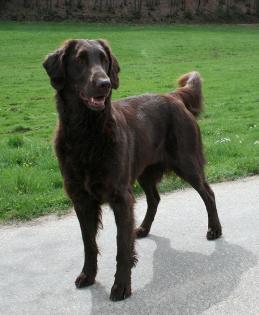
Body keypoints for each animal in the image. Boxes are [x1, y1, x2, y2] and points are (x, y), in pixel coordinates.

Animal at [43, 39, 222, 302]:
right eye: (80, 59)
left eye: (104, 59)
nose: (105, 84)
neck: (87, 133)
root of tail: (174, 96)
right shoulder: (81, 199)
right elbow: (88, 243)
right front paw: (88, 275)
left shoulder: (121, 197)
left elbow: (121, 245)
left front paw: (121, 286)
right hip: (145, 171)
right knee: (155, 198)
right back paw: (144, 229)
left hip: (187, 163)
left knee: (208, 193)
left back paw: (215, 229)